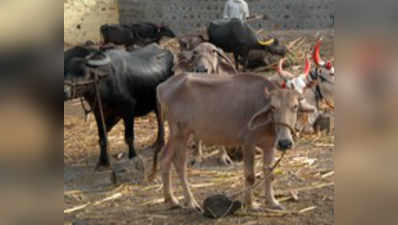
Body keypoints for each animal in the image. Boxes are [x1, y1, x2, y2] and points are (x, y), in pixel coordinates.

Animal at [151, 73, 316, 212]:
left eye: (295, 107)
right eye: (273, 107)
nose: (285, 143)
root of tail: (162, 86)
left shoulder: (269, 146)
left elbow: (269, 173)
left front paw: (273, 202)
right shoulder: (248, 143)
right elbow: (250, 176)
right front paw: (251, 204)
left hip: (178, 135)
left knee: (166, 160)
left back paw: (172, 200)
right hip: (180, 133)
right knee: (179, 164)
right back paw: (191, 202)